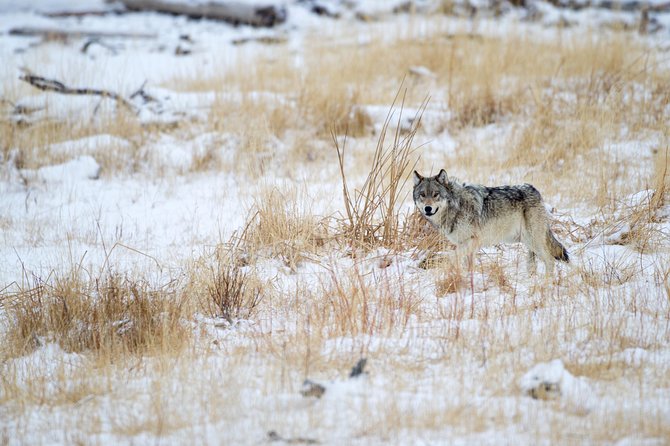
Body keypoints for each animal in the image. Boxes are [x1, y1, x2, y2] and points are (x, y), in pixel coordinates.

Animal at [413, 169, 569, 275]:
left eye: (435, 194)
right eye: (422, 195)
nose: (428, 208)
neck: (456, 206)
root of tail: (535, 190)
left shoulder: (472, 241)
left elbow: (452, 255)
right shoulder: (467, 245)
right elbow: (468, 265)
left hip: (534, 241)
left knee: (550, 261)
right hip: (527, 242)